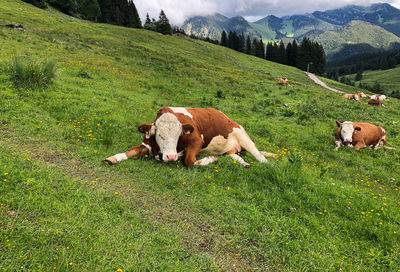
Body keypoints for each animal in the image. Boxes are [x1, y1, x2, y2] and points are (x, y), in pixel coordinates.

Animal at [104, 107, 276, 167]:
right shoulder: (147, 144)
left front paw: (209, 160)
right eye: (159, 134)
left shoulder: (196, 141)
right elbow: (130, 151)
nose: (171, 157)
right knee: (234, 156)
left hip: (243, 136)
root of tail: (228, 117)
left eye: (178, 135)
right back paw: (244, 163)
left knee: (260, 156)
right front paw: (113, 158)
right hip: (229, 150)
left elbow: (189, 161)